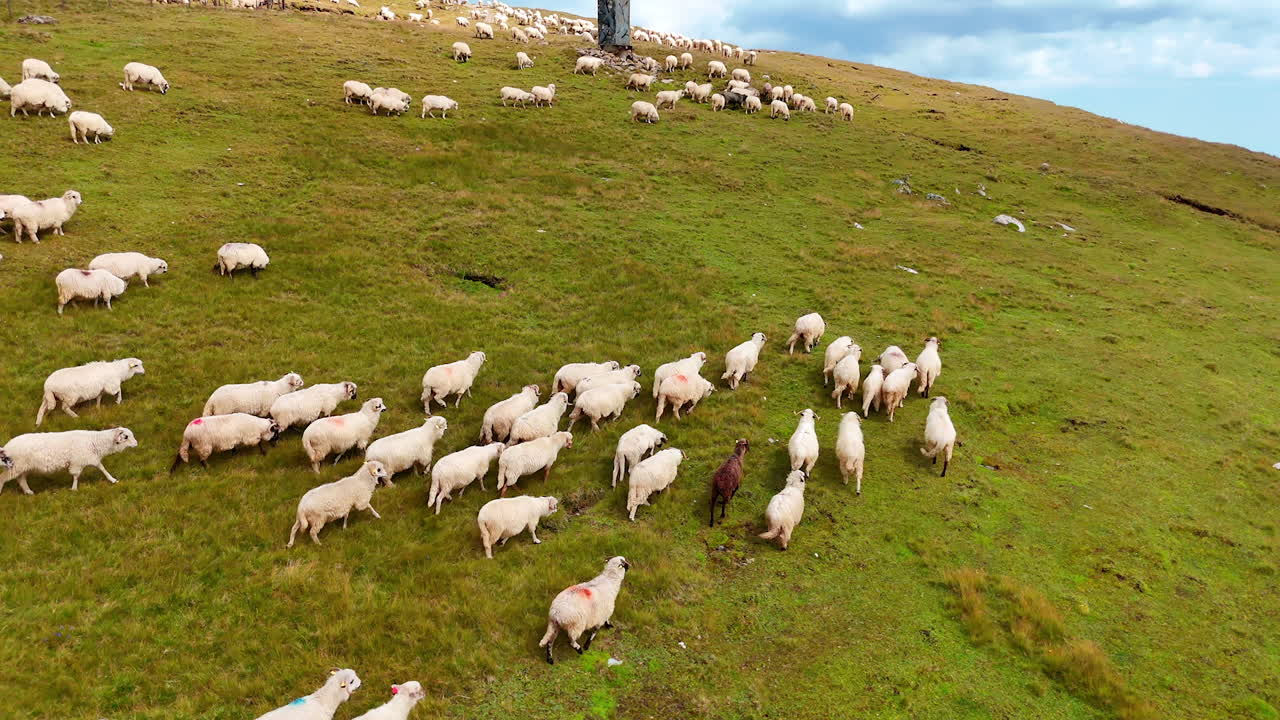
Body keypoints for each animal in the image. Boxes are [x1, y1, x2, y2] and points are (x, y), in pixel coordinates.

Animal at [0, 428, 137, 494]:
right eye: (126, 437)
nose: (136, 444)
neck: (95, 441)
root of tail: (6, 447)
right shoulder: (77, 461)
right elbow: (76, 475)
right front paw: (74, 489)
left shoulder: (90, 458)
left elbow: (102, 468)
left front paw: (113, 480)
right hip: (15, 466)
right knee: (3, 478)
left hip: (22, 467)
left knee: (21, 479)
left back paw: (28, 492)